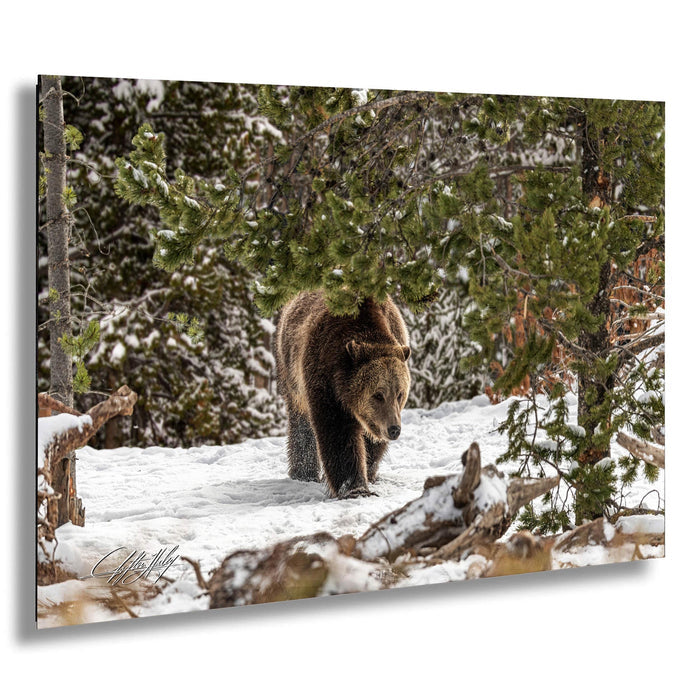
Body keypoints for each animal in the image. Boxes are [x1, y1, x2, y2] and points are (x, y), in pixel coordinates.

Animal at [275, 291, 411, 499]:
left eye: (400, 394)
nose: (394, 429)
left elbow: (369, 444)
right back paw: (304, 473)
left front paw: (368, 473)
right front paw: (355, 488)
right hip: (292, 374)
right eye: (378, 395)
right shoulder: (324, 375)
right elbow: (338, 432)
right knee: (301, 425)